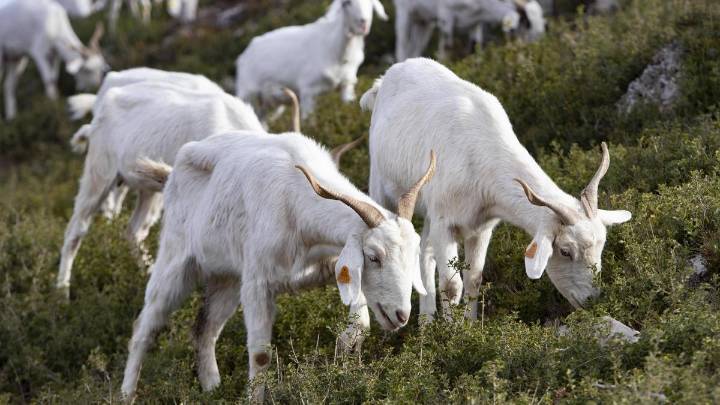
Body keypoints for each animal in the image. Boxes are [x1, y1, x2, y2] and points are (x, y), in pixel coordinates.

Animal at [120, 131, 433, 402]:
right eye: (373, 256)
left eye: (413, 255)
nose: (401, 315)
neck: (295, 204)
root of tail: (172, 171)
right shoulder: (258, 284)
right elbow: (260, 355)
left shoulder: (331, 264)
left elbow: (360, 327)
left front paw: (344, 358)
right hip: (175, 263)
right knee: (144, 327)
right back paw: (126, 394)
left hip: (227, 279)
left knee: (205, 330)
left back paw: (213, 390)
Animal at [235, 0, 388, 122]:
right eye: (347, 3)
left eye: (371, 3)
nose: (363, 23)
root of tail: (243, 56)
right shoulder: (308, 90)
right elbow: (309, 121)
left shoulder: (347, 83)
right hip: (248, 94)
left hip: (269, 104)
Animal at [361, 58, 631, 320]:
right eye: (565, 251)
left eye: (602, 245)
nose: (592, 299)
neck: (479, 157)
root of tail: (384, 79)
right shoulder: (445, 222)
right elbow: (451, 286)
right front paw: (451, 333)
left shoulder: (481, 227)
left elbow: (473, 279)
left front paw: (469, 327)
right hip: (380, 183)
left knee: (424, 251)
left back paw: (425, 324)